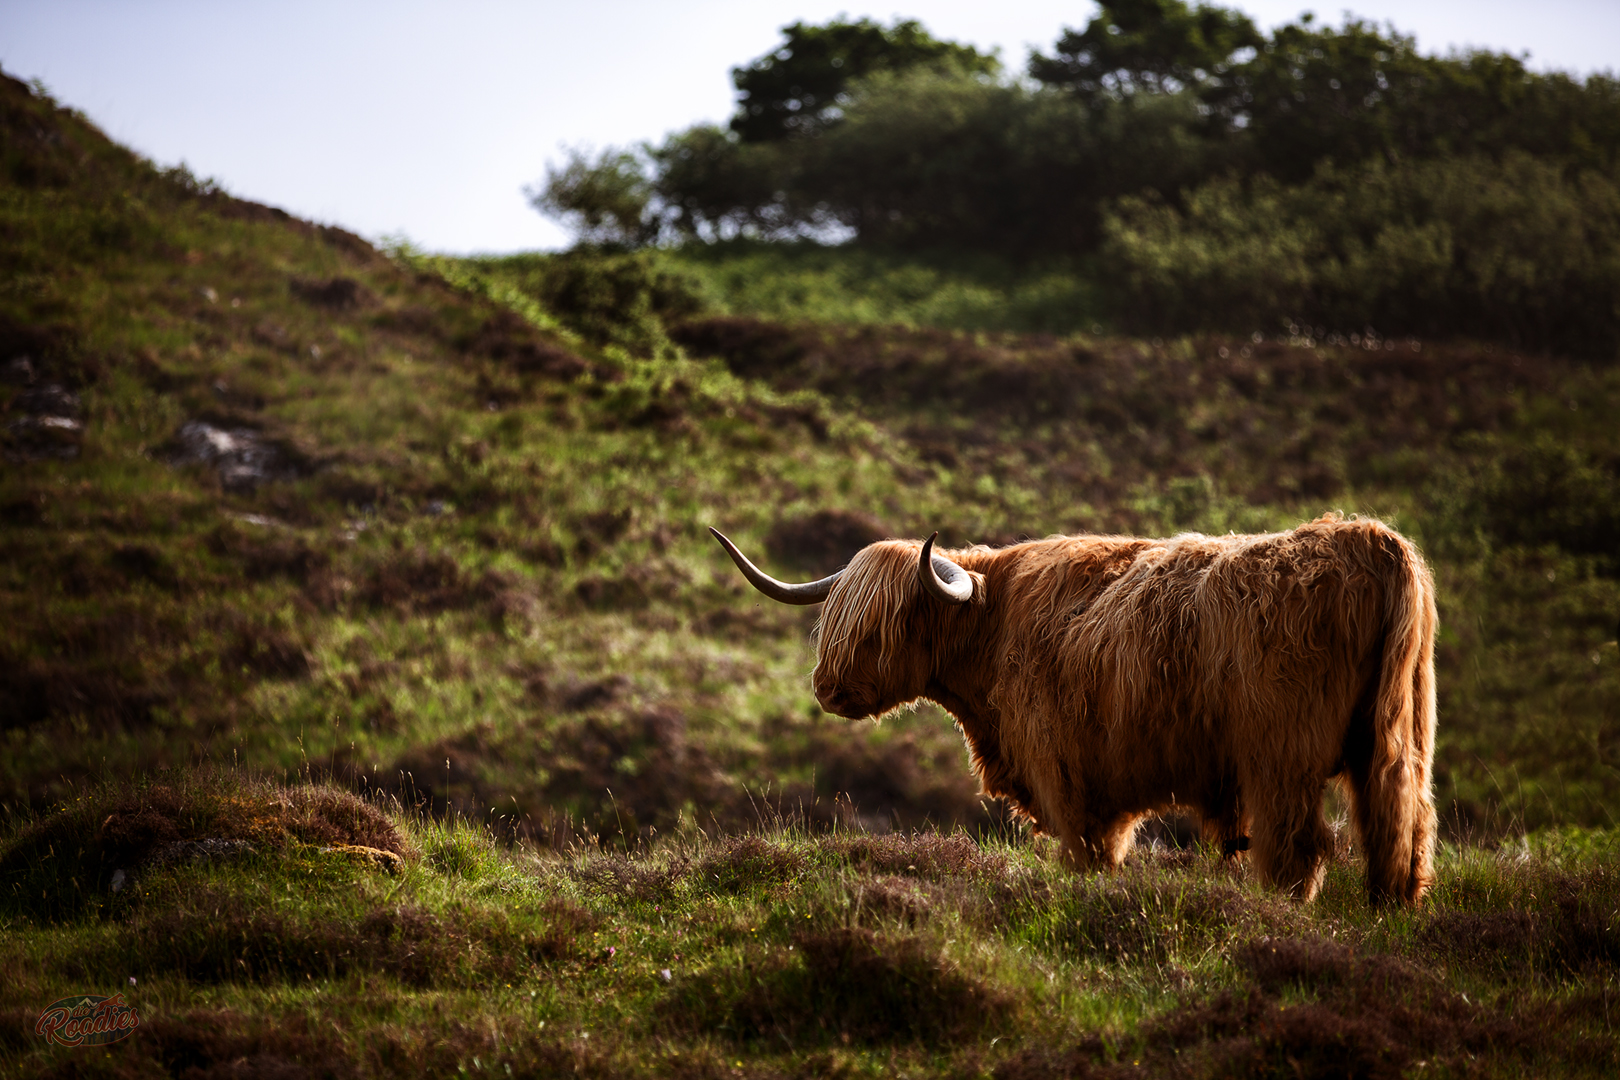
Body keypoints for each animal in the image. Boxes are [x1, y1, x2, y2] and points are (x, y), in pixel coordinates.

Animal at [716, 514, 1438, 906]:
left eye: (884, 625)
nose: (828, 689)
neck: (991, 626)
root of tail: (1373, 542)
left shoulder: (1065, 778)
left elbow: (1088, 856)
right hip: (1399, 736)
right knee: (1398, 821)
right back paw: (1390, 909)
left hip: (1280, 759)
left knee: (1299, 848)